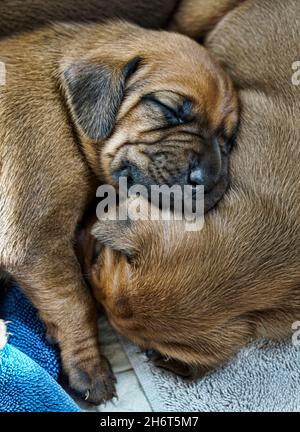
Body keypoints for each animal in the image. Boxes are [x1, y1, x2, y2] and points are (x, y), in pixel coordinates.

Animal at [0, 18, 239, 404]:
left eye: (228, 140)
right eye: (168, 108)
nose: (206, 180)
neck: (64, 106)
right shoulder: (37, 242)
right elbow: (75, 301)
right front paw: (89, 369)